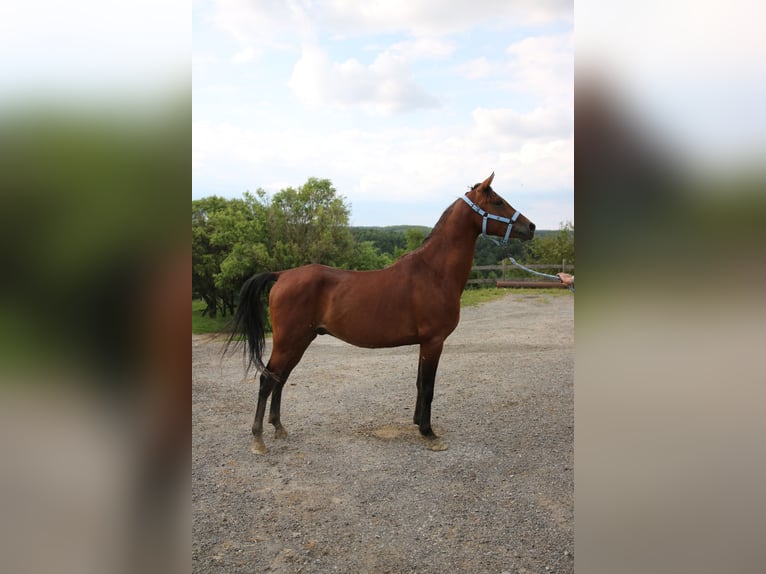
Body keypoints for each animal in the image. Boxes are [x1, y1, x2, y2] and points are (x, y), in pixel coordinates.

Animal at [225, 171, 536, 454]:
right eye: (497, 202)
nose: (531, 227)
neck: (433, 272)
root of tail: (282, 274)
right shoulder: (434, 341)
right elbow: (428, 387)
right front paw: (429, 433)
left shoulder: (425, 344)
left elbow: (419, 384)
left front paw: (417, 423)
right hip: (289, 341)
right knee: (267, 379)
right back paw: (258, 439)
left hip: (300, 341)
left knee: (280, 378)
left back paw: (278, 427)